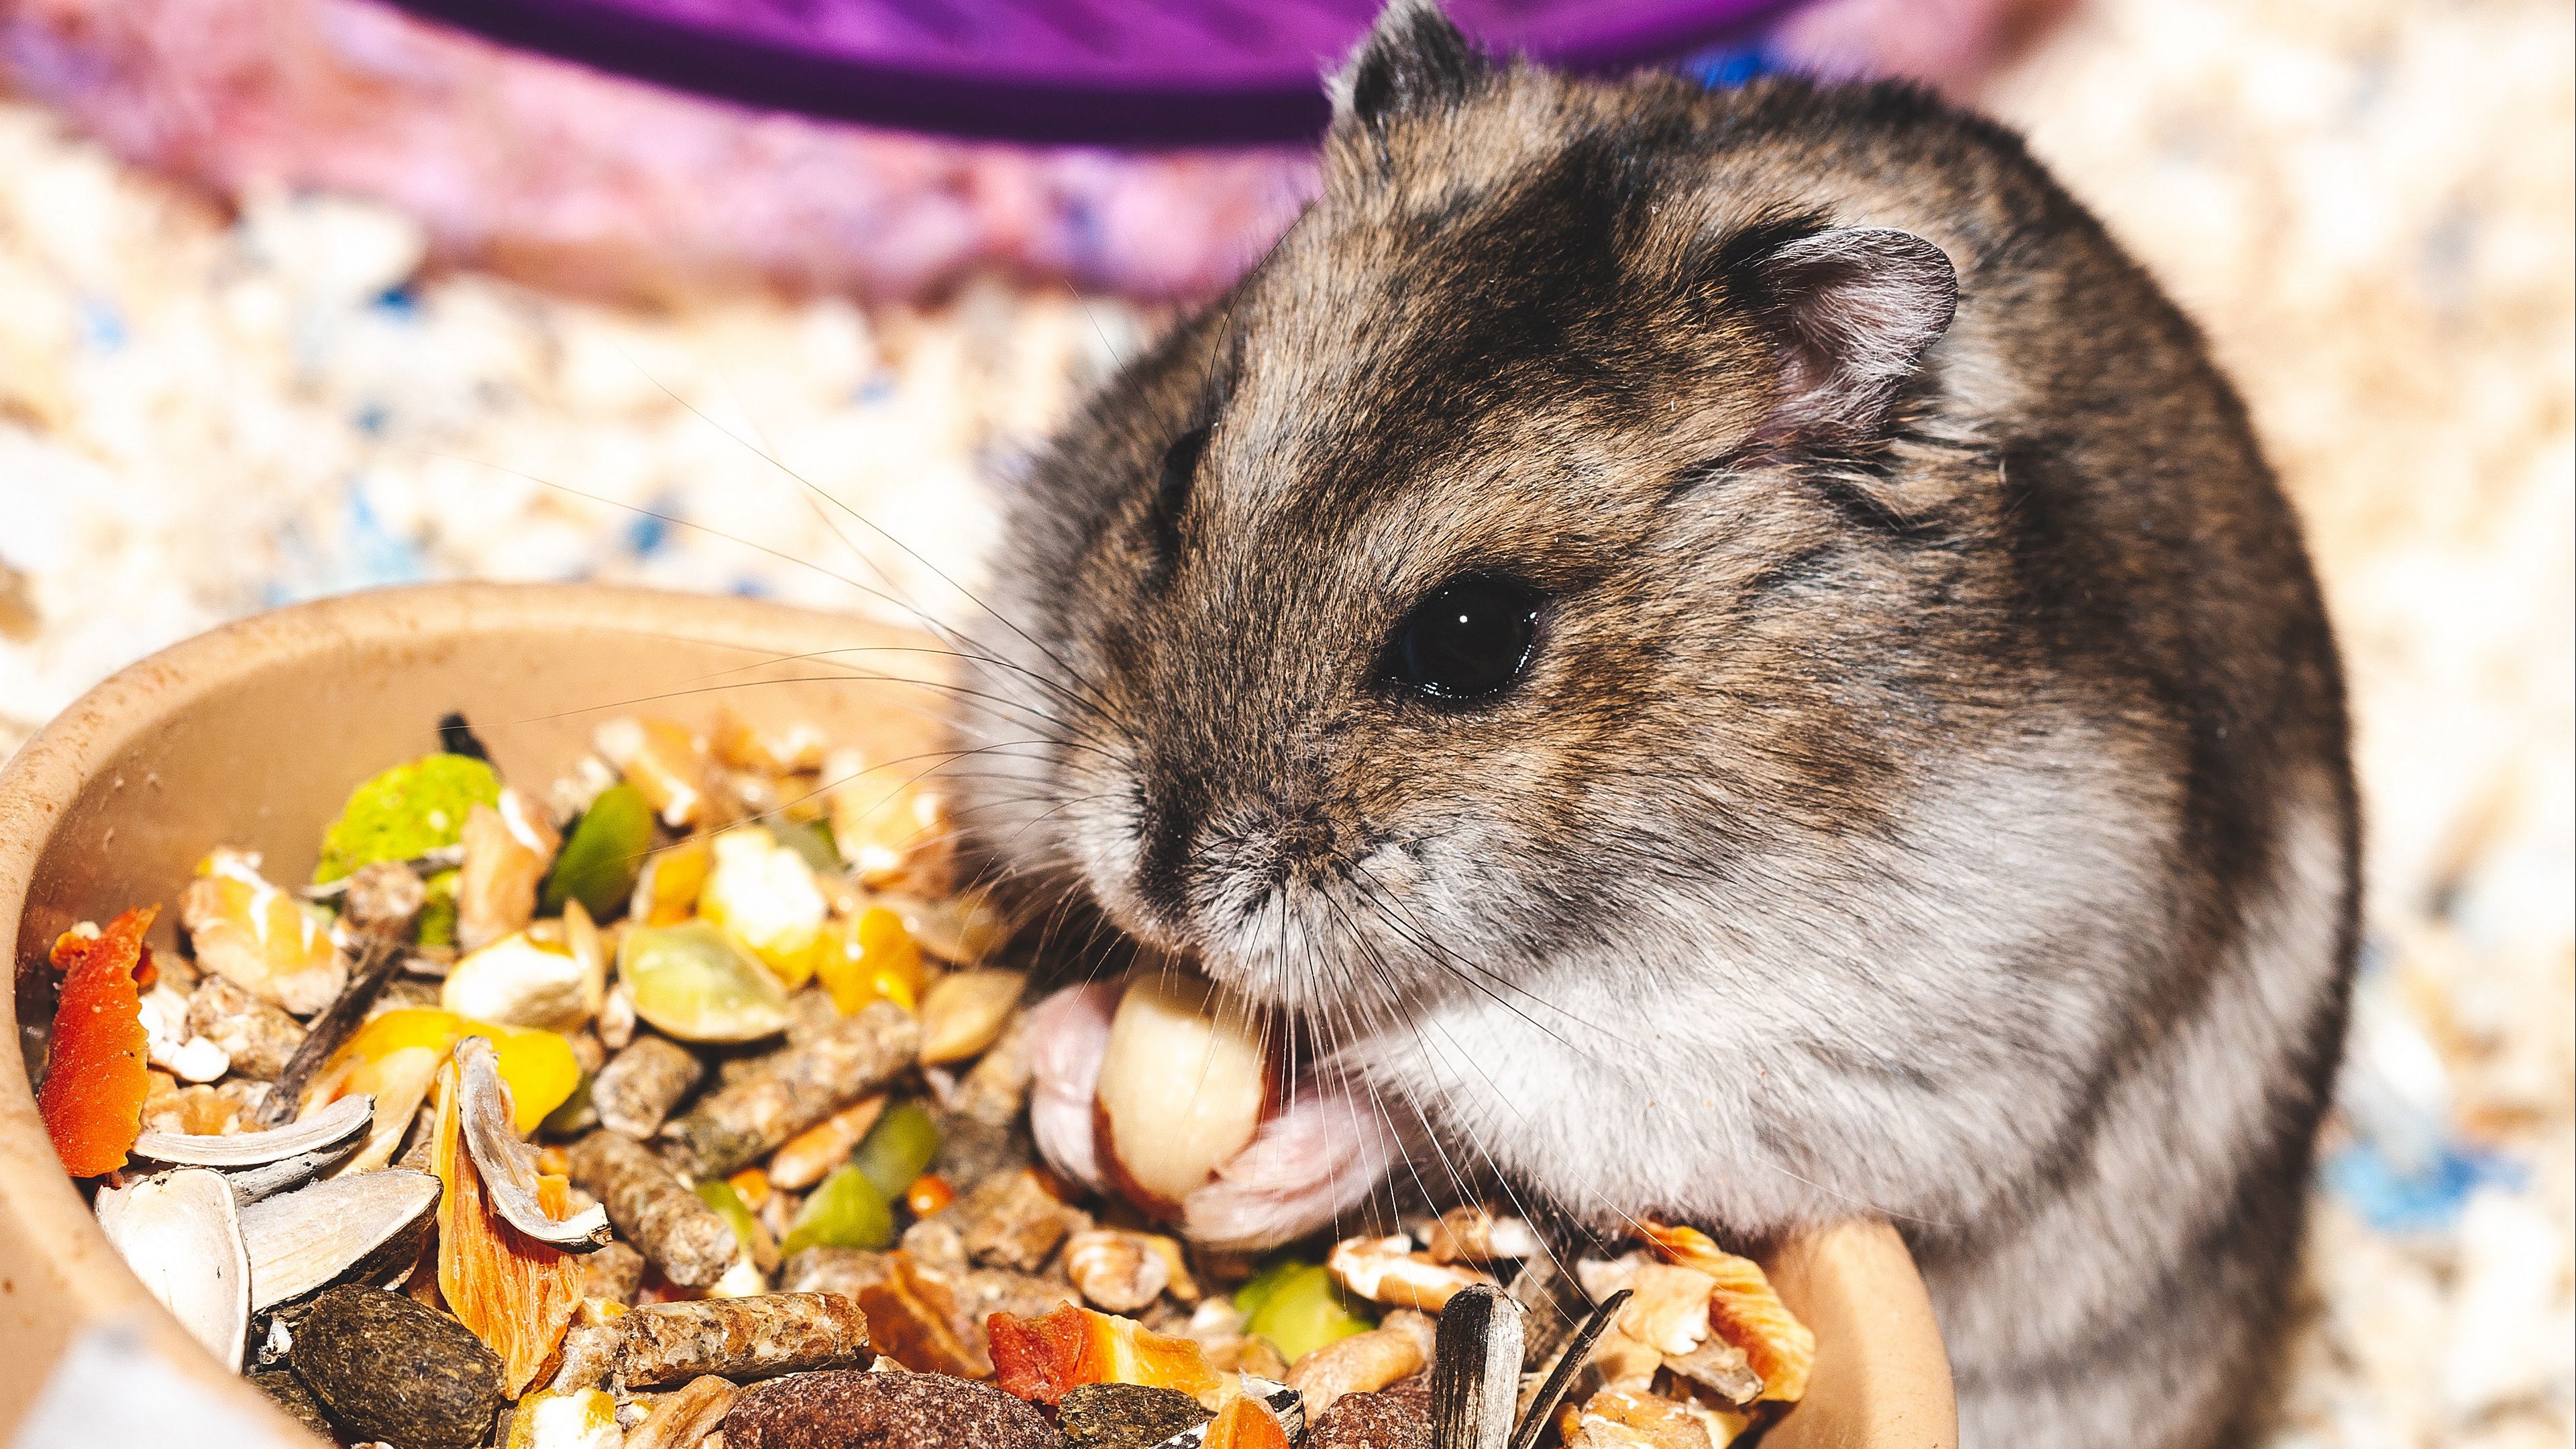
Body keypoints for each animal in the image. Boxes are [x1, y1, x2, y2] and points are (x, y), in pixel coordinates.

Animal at [956, 6, 2357, 1447]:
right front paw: (1067, 1075)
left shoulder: (1778, 1063)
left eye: (1473, 639)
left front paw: (1268, 1161)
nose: (1159, 890)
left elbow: (1434, 1094)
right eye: (1179, 473)